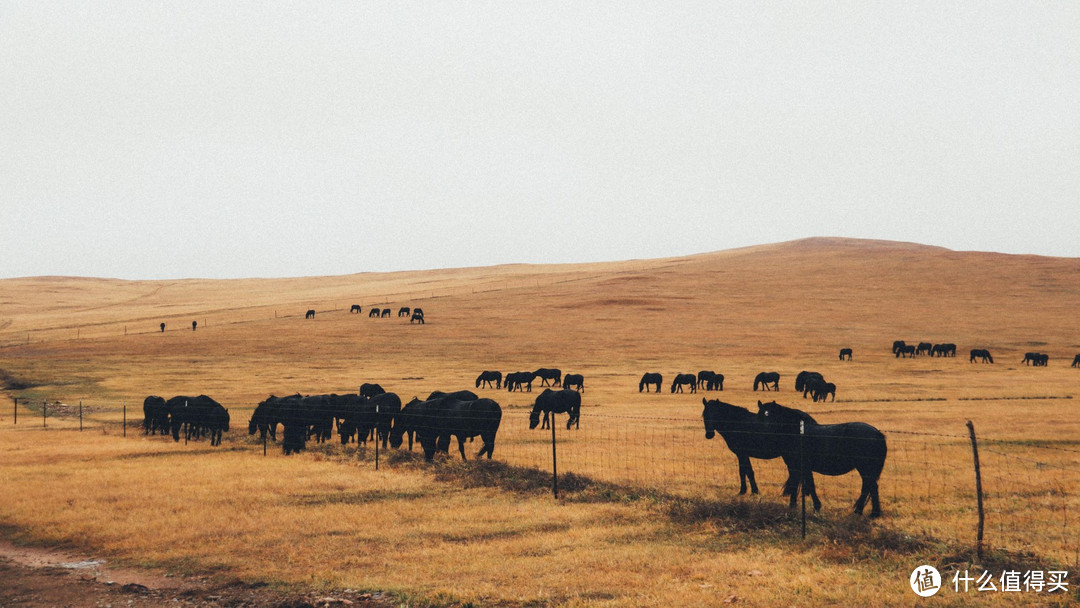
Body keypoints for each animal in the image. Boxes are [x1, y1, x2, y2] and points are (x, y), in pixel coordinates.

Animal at [756, 401, 889, 516]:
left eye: (772, 415)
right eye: (760, 416)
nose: (764, 433)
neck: (797, 432)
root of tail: (878, 434)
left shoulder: (798, 467)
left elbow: (805, 485)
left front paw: (813, 506)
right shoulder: (800, 468)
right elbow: (803, 484)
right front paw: (796, 505)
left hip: (865, 469)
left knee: (870, 487)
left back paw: (870, 513)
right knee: (868, 487)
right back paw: (864, 512)